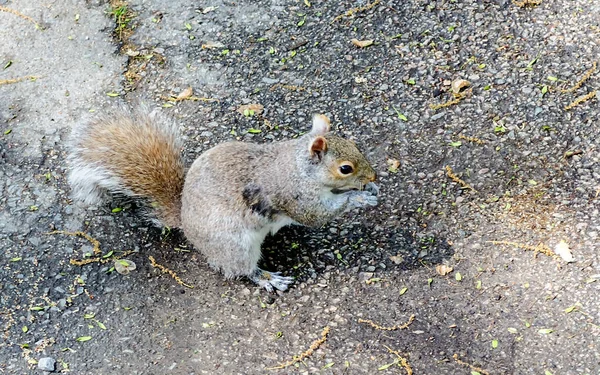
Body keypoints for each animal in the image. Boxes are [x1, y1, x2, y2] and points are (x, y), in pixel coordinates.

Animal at [68, 107, 378, 292]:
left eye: (356, 146)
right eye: (345, 168)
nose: (373, 175)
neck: (299, 168)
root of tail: (185, 223)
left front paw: (370, 190)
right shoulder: (295, 196)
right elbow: (317, 216)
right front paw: (359, 198)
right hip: (234, 245)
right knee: (241, 269)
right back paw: (268, 278)